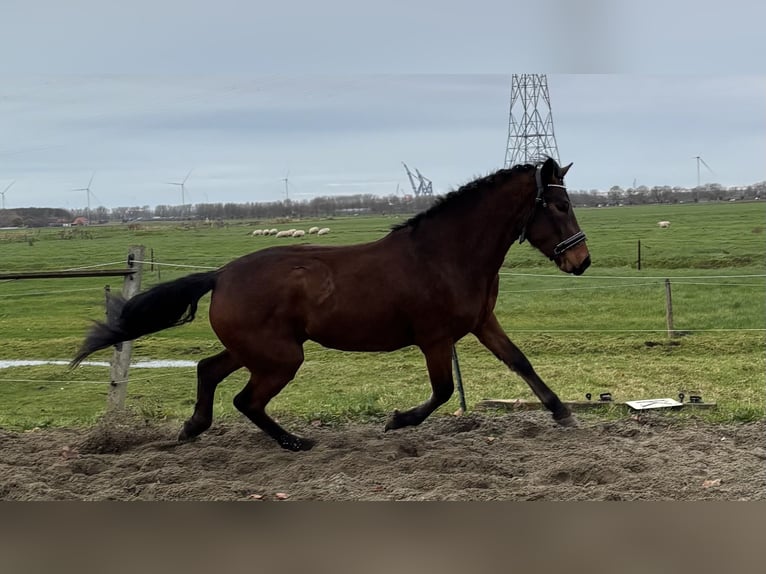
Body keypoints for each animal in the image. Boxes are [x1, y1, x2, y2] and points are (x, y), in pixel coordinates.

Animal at [71, 157, 590, 451]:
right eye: (560, 207)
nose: (582, 261)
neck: (444, 254)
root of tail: (221, 275)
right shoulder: (435, 339)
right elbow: (443, 391)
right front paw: (396, 421)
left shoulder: (482, 322)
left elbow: (520, 362)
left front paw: (562, 413)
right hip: (281, 358)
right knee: (245, 399)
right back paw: (295, 441)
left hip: (257, 351)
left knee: (208, 370)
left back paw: (194, 427)